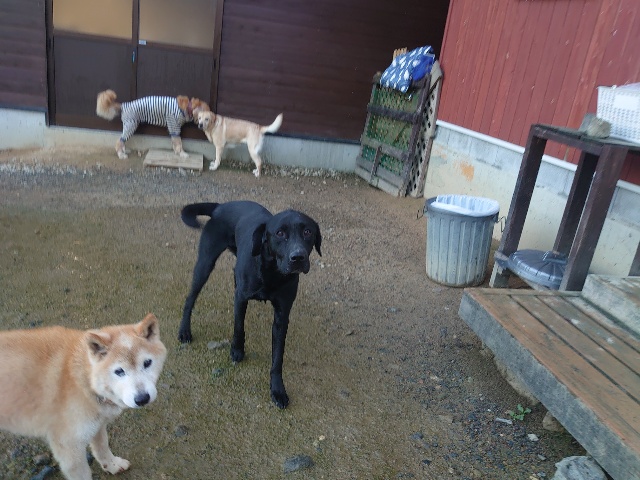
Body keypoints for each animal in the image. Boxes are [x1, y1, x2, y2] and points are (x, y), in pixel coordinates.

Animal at [0, 313, 167, 480]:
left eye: (147, 363)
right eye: (119, 371)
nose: (142, 398)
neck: (82, 378)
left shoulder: (97, 424)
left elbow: (102, 447)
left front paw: (112, 464)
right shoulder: (69, 447)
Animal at [178, 201, 321, 408]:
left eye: (308, 232)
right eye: (280, 233)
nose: (298, 257)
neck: (272, 273)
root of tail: (221, 205)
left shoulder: (282, 314)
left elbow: (278, 357)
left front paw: (278, 390)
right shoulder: (241, 298)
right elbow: (239, 326)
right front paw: (237, 350)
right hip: (205, 263)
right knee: (190, 299)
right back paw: (184, 331)